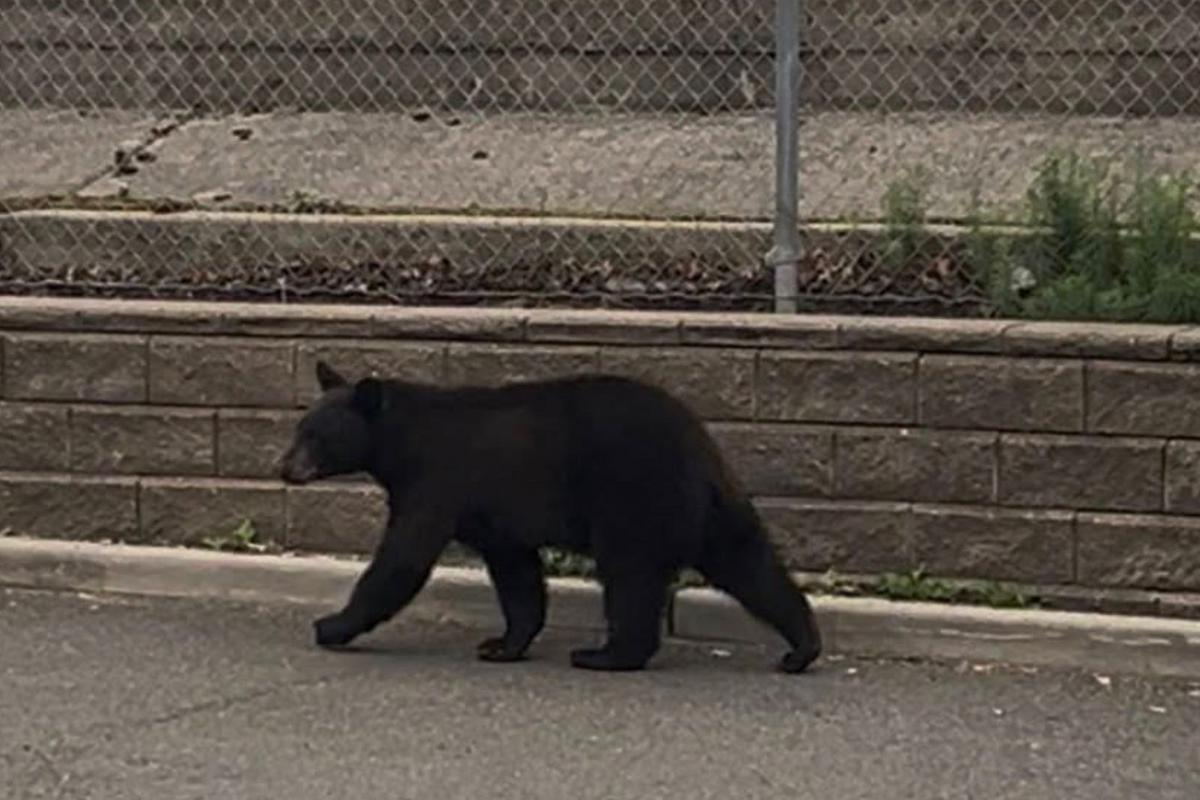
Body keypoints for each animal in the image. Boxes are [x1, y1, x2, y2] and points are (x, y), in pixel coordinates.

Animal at [280, 360, 822, 674]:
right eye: (300, 428)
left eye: (315, 435)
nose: (284, 467)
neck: (400, 443)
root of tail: (699, 442)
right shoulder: (494, 514)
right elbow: (515, 572)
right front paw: (503, 644)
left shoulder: (436, 482)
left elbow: (402, 558)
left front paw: (330, 625)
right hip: (710, 509)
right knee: (750, 564)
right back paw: (801, 648)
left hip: (634, 497)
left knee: (631, 576)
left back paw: (606, 655)